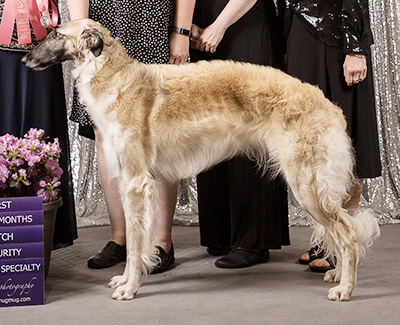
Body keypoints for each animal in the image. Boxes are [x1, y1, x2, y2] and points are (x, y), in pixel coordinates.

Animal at [23, 19, 380, 300]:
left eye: (55, 33)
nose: (25, 57)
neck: (117, 78)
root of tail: (329, 105)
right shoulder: (130, 181)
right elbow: (136, 241)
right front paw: (125, 280)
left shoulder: (136, 182)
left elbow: (136, 244)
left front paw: (130, 288)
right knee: (342, 232)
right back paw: (337, 274)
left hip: (307, 185)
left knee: (347, 234)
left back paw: (345, 288)